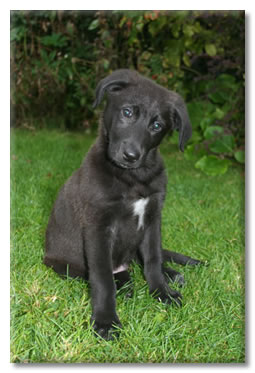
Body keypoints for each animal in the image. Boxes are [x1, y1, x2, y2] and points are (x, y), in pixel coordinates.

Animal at [44, 68, 202, 338]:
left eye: (157, 125)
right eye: (127, 112)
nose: (131, 156)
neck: (134, 178)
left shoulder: (152, 219)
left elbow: (153, 260)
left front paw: (163, 292)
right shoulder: (98, 227)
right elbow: (102, 278)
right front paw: (105, 321)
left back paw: (171, 273)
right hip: (64, 265)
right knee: (107, 274)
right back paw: (125, 285)